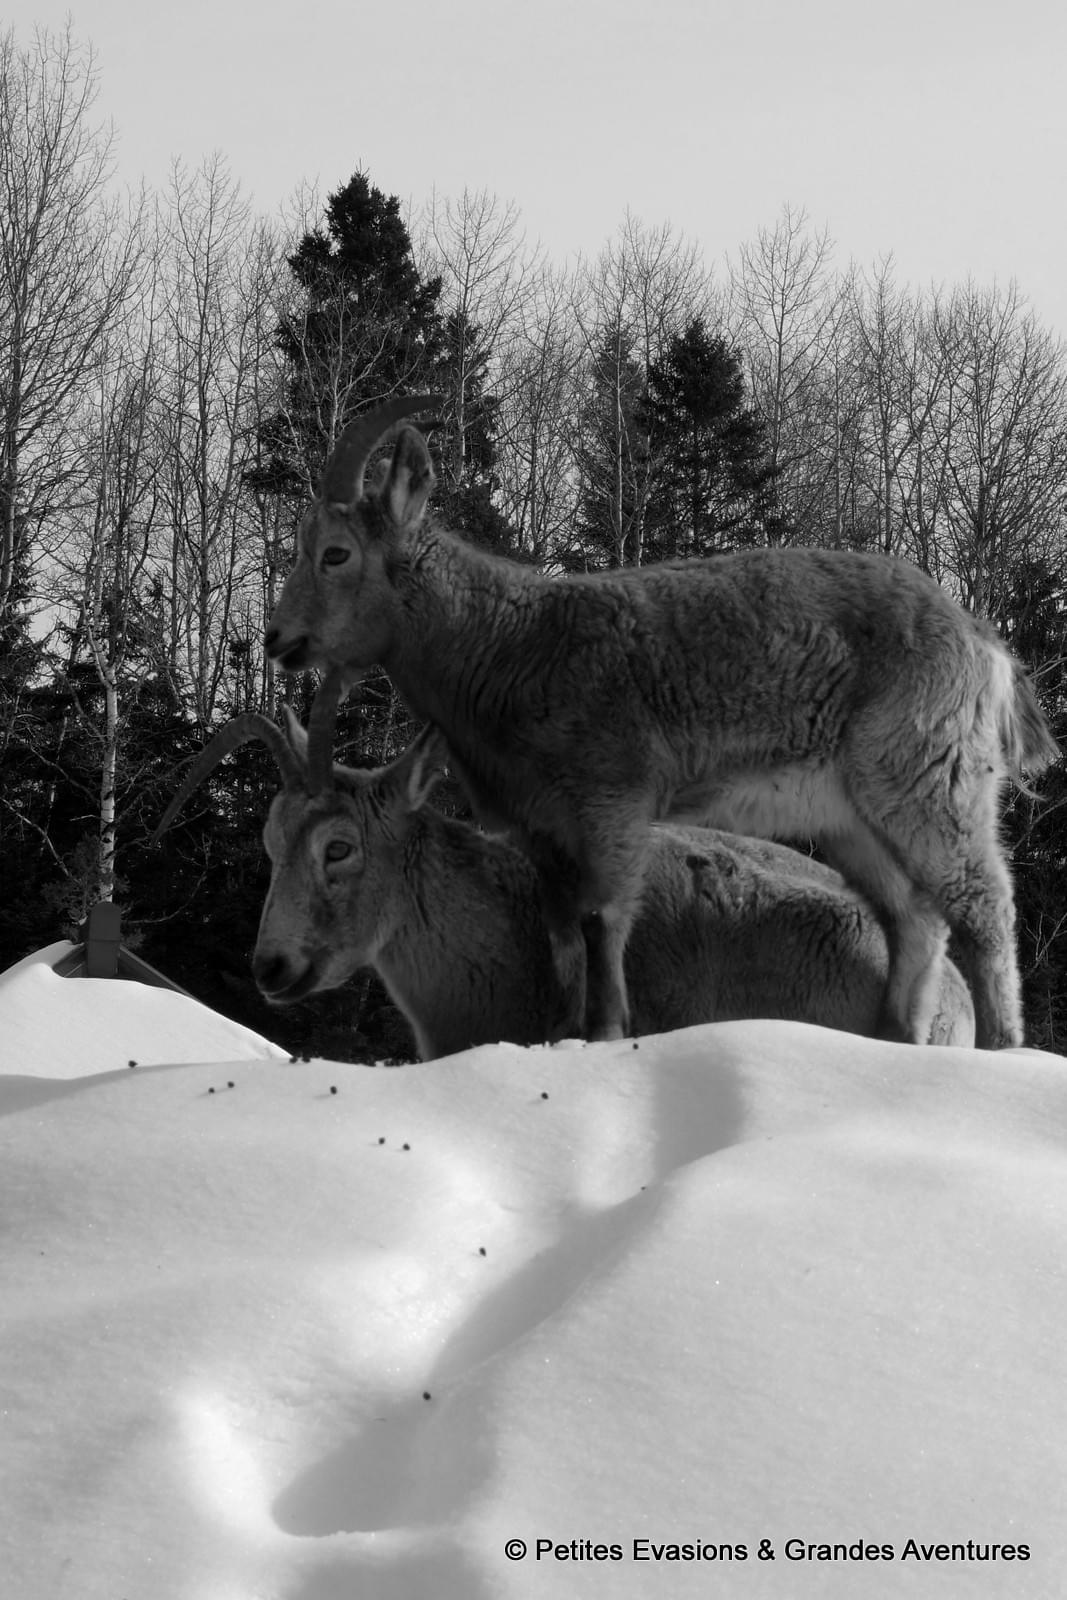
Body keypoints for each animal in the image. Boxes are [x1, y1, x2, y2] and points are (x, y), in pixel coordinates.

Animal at [263, 395, 1058, 1049]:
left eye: (335, 553)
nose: (278, 639)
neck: (506, 644)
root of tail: (984, 643)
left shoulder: (611, 799)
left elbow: (604, 918)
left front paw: (609, 1030)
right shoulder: (541, 827)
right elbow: (562, 931)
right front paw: (563, 1032)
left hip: (925, 776)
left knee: (983, 902)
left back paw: (1003, 1046)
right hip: (849, 814)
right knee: (912, 917)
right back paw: (896, 1037)